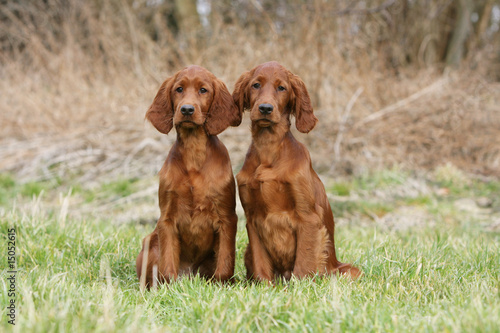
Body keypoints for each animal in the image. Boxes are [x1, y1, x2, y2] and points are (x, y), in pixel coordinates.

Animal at [135, 65, 240, 288]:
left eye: (203, 90)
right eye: (179, 89)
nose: (186, 110)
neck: (193, 151)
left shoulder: (226, 217)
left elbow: (225, 262)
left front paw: (222, 285)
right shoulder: (167, 218)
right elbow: (167, 265)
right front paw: (169, 288)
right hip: (150, 242)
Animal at [232, 61, 362, 280]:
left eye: (281, 88)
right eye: (256, 85)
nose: (265, 108)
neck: (269, 149)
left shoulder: (308, 216)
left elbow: (304, 262)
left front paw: (301, 285)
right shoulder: (252, 218)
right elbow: (260, 264)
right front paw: (264, 285)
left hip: (348, 270)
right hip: (247, 251)